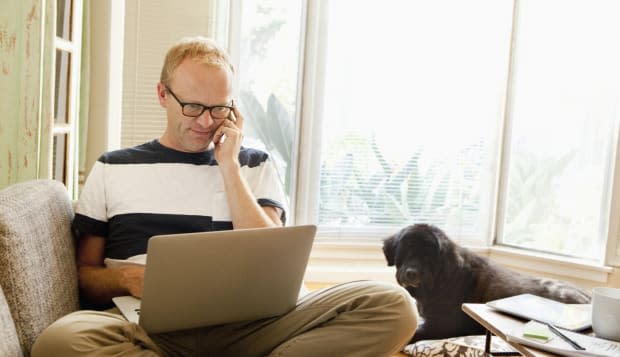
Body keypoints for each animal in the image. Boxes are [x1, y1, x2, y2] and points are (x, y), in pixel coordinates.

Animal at [382, 222, 592, 342]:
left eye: (429, 257)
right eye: (405, 251)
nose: (412, 273)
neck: (443, 279)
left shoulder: (442, 324)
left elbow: (414, 332)